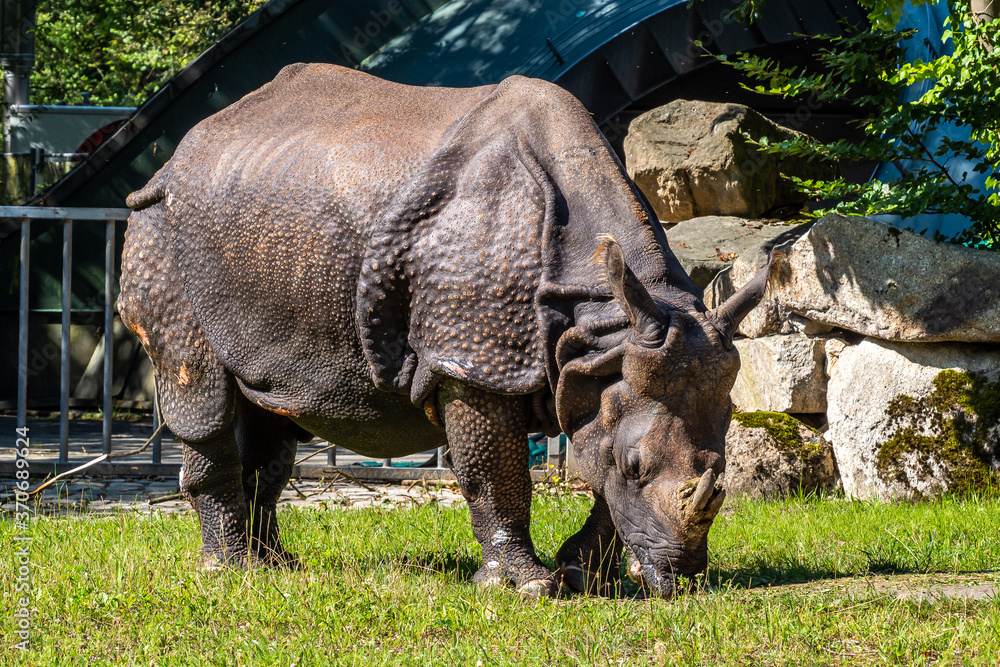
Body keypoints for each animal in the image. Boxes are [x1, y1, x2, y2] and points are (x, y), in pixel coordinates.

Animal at [119, 63, 773, 597]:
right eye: (638, 466)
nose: (683, 579)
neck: (605, 320)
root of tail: (179, 154)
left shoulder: (607, 359)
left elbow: (598, 463)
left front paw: (584, 576)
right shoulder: (474, 357)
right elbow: (497, 471)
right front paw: (528, 588)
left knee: (269, 408)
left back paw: (279, 568)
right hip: (161, 229)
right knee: (202, 392)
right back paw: (231, 573)